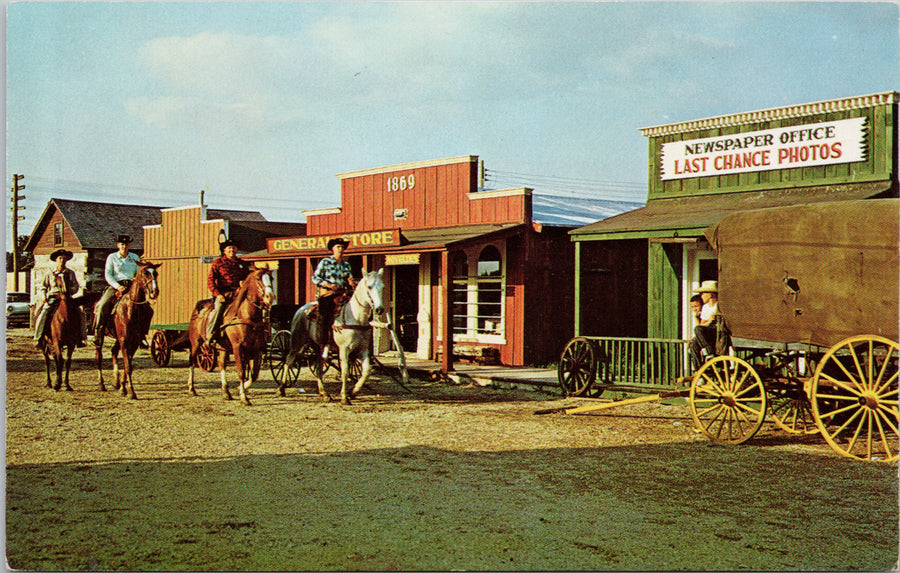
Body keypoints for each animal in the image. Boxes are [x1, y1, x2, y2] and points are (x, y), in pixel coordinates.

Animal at [95, 260, 162, 398]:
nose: (154, 291)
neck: (131, 309)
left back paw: (115, 382)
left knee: (113, 352)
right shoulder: (124, 340)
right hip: (100, 335)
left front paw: (123, 387)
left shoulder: (134, 341)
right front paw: (131, 391)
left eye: (156, 273)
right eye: (145, 273)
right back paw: (101, 384)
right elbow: (128, 366)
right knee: (99, 356)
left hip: (117, 338)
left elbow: (128, 365)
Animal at [187, 266, 272, 404]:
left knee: (222, 365)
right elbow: (241, 372)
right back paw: (191, 389)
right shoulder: (238, 347)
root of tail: (198, 307)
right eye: (258, 278)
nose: (270, 296)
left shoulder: (255, 348)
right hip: (196, 343)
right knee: (191, 362)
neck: (246, 315)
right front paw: (244, 397)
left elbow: (253, 374)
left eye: (272, 278)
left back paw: (226, 392)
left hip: (223, 348)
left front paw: (240, 389)